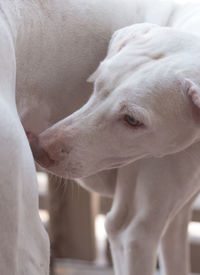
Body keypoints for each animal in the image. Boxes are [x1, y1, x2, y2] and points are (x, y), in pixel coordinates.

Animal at [1, 0, 200, 275]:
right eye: (97, 83)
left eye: (133, 119)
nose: (40, 148)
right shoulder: (133, 233)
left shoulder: (178, 216)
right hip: (25, 245)